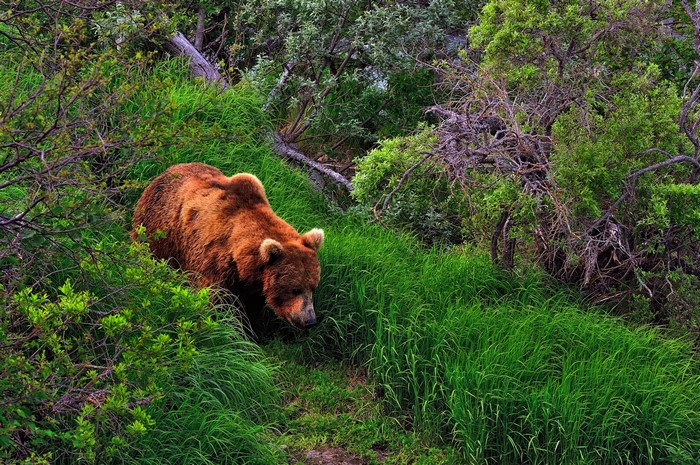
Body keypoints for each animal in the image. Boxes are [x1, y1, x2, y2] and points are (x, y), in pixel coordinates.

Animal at [132, 162, 324, 329]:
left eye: (313, 287)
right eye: (294, 289)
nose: (310, 321)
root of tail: (165, 171)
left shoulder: (252, 284)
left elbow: (251, 308)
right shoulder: (214, 265)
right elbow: (216, 304)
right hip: (157, 232)